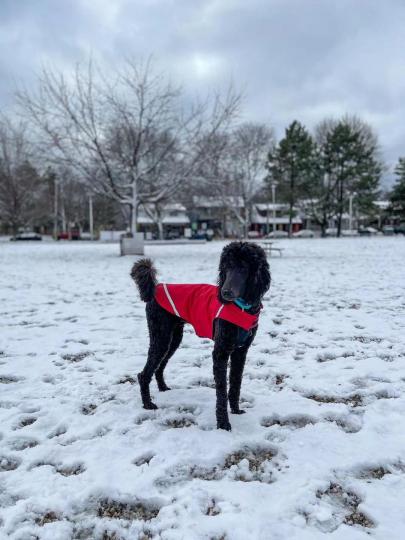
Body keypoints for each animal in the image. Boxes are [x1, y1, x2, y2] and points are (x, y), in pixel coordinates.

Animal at [130, 240, 268, 430]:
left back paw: (163, 388)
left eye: (244, 268)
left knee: (160, 366)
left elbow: (235, 384)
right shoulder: (221, 352)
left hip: (173, 338)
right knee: (144, 374)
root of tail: (155, 289)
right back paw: (147, 404)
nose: (225, 292)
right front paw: (223, 423)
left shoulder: (241, 352)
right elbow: (221, 390)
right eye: (226, 267)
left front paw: (236, 410)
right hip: (160, 336)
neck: (242, 307)